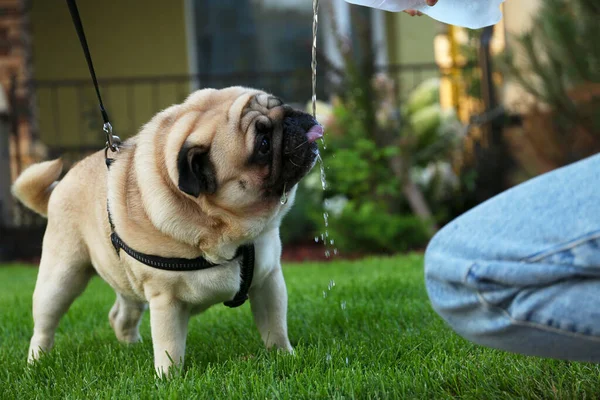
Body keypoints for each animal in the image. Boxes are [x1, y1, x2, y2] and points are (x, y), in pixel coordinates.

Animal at [10, 86, 324, 376]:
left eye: (279, 103)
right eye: (263, 144)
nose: (292, 118)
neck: (225, 230)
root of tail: (59, 186)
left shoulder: (268, 281)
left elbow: (275, 327)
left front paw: (284, 357)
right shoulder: (166, 301)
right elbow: (169, 347)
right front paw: (169, 380)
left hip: (126, 280)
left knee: (120, 315)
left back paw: (131, 347)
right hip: (61, 278)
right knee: (45, 324)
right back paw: (36, 362)